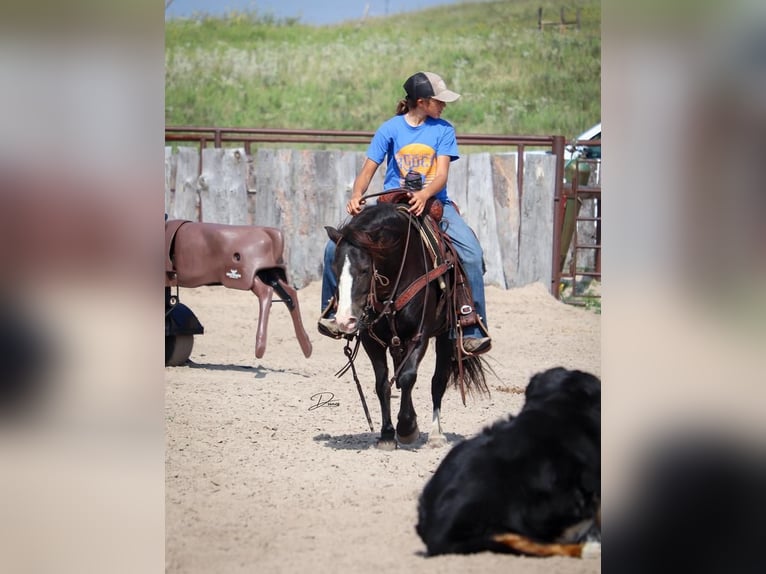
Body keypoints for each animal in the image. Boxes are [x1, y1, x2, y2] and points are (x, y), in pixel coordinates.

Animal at [328, 202, 488, 450]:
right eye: (335, 269)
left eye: (364, 269)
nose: (346, 320)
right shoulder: (371, 340)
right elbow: (383, 383)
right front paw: (387, 434)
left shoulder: (419, 335)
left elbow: (408, 377)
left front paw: (406, 428)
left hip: (446, 336)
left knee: (437, 382)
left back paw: (435, 434)